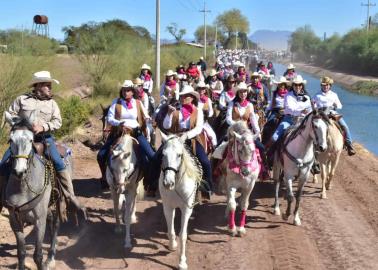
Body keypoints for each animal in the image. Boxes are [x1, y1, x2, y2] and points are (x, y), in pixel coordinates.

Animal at [4, 110, 62, 268]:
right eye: (11, 140)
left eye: (31, 140)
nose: (19, 171)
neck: (24, 188)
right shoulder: (14, 219)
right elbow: (21, 252)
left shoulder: (39, 220)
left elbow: (38, 255)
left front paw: (44, 261)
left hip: (57, 201)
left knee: (55, 223)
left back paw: (51, 257)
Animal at [158, 133, 202, 270]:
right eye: (163, 154)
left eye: (179, 155)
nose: (168, 183)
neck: (177, 185)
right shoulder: (168, 207)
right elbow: (171, 230)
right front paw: (172, 245)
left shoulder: (186, 209)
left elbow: (183, 235)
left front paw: (182, 262)